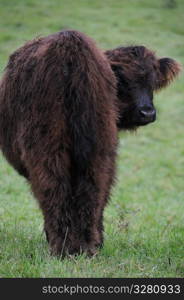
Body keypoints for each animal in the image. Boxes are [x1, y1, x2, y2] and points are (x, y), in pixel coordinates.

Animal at [0, 29, 181, 255]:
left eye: (153, 81)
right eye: (123, 81)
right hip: (96, 148)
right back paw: (87, 247)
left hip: (50, 148)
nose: (147, 112)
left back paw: (66, 248)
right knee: (91, 190)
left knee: (57, 189)